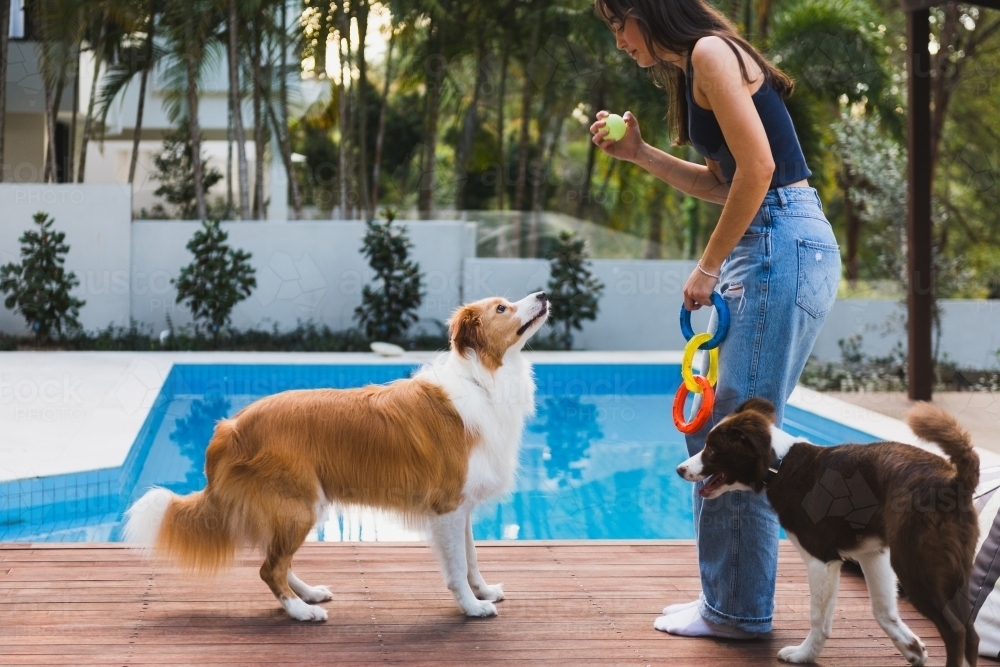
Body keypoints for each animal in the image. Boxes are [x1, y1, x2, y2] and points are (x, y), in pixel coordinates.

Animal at [123, 294, 556, 624]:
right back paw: (301, 612)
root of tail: (229, 428)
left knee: (276, 561)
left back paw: (308, 594)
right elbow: (456, 567)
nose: (543, 294)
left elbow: (471, 557)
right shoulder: (447, 506)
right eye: (501, 308)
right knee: (269, 568)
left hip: (294, 507)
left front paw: (484, 591)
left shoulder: (460, 507)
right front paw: (471, 607)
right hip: (298, 505)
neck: (482, 377)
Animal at [676, 400, 980, 667]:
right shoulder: (873, 554)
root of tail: (954, 480)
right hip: (954, 573)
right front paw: (912, 648)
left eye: (712, 450)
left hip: (916, 567)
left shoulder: (821, 559)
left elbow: (818, 619)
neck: (780, 465)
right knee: (971, 633)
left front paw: (804, 655)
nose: (679, 469)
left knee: (955, 631)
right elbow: (883, 610)